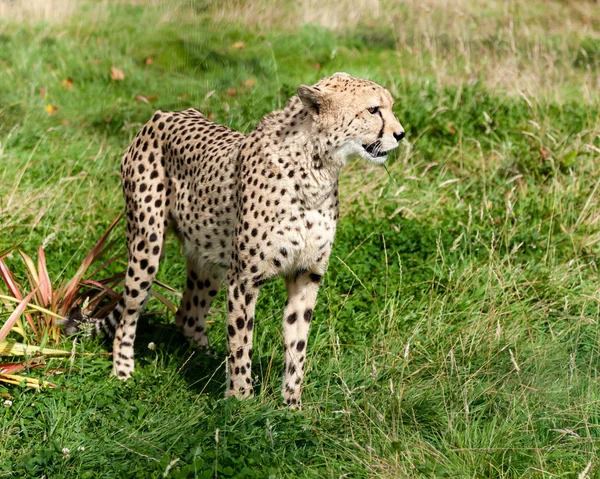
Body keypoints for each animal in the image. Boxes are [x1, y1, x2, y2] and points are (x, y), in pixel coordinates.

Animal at [72, 72, 406, 408]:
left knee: (188, 313)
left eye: (389, 107)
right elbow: (241, 339)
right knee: (130, 311)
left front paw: (292, 406)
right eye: (373, 110)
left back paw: (203, 360)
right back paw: (123, 371)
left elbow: (297, 343)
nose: (401, 134)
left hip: (209, 259)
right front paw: (241, 401)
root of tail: (163, 114)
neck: (317, 167)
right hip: (147, 244)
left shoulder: (306, 274)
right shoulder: (244, 278)